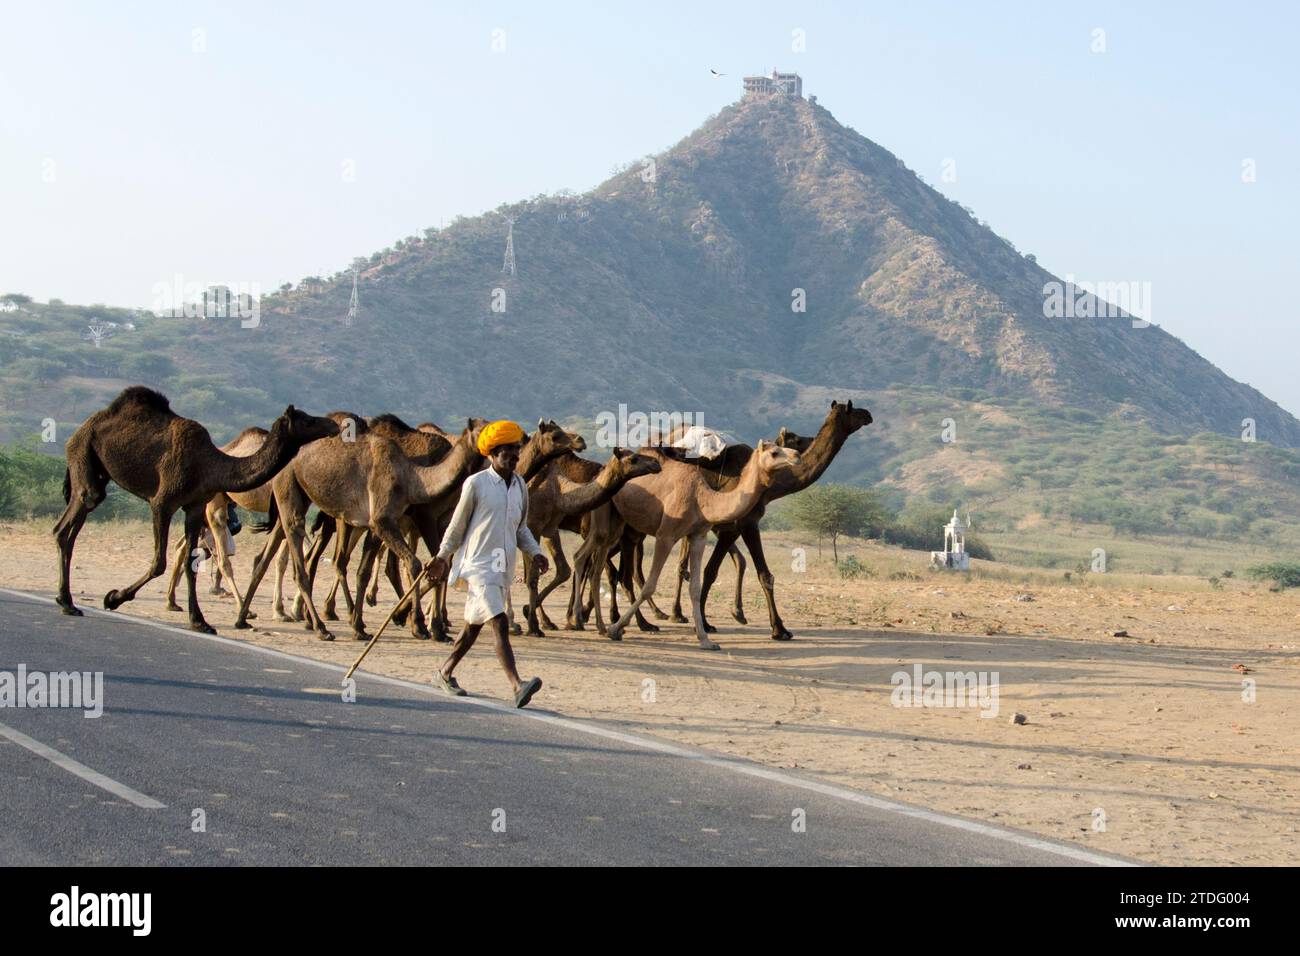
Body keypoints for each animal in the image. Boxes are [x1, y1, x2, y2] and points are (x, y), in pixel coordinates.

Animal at [55, 385, 340, 632]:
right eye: (307, 420)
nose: (333, 425)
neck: (209, 464)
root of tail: (84, 426)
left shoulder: (195, 507)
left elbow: (190, 563)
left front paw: (199, 621)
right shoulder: (163, 503)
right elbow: (159, 561)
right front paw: (113, 598)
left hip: (98, 471)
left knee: (72, 525)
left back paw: (65, 600)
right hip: (83, 451)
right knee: (74, 513)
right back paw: (68, 603)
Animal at [514, 447, 660, 634]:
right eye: (633, 459)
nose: (656, 463)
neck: (558, 490)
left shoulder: (552, 528)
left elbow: (583, 571)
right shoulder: (533, 526)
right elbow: (533, 576)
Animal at [595, 442, 795, 650]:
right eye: (774, 453)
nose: (795, 455)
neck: (701, 499)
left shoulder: (698, 536)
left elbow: (695, 588)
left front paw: (706, 640)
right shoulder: (666, 535)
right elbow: (650, 585)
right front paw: (613, 630)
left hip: (630, 531)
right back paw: (620, 623)